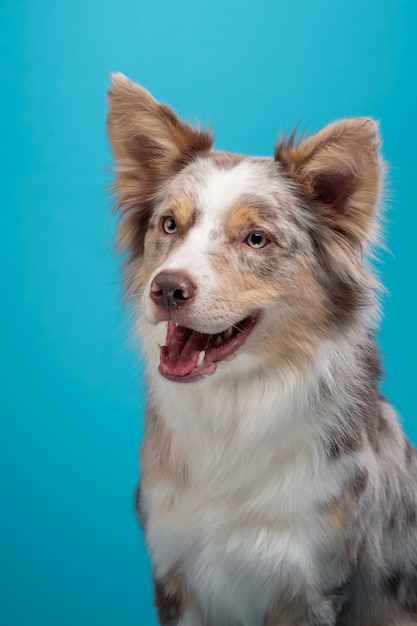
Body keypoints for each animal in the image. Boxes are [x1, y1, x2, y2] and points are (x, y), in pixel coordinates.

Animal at [106, 74, 416, 624]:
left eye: (256, 239)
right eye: (170, 225)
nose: (167, 288)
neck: (231, 410)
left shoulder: (311, 585)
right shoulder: (174, 571)